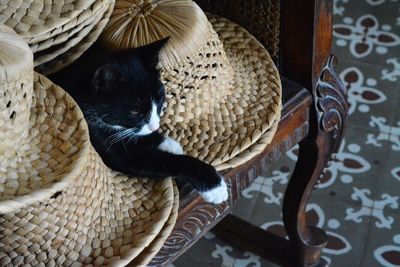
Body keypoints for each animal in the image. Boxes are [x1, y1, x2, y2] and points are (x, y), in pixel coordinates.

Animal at [50, 38, 228, 204]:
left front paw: (165, 142)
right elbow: (159, 161)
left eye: (159, 97)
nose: (155, 126)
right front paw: (214, 185)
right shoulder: (97, 135)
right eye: (135, 111)